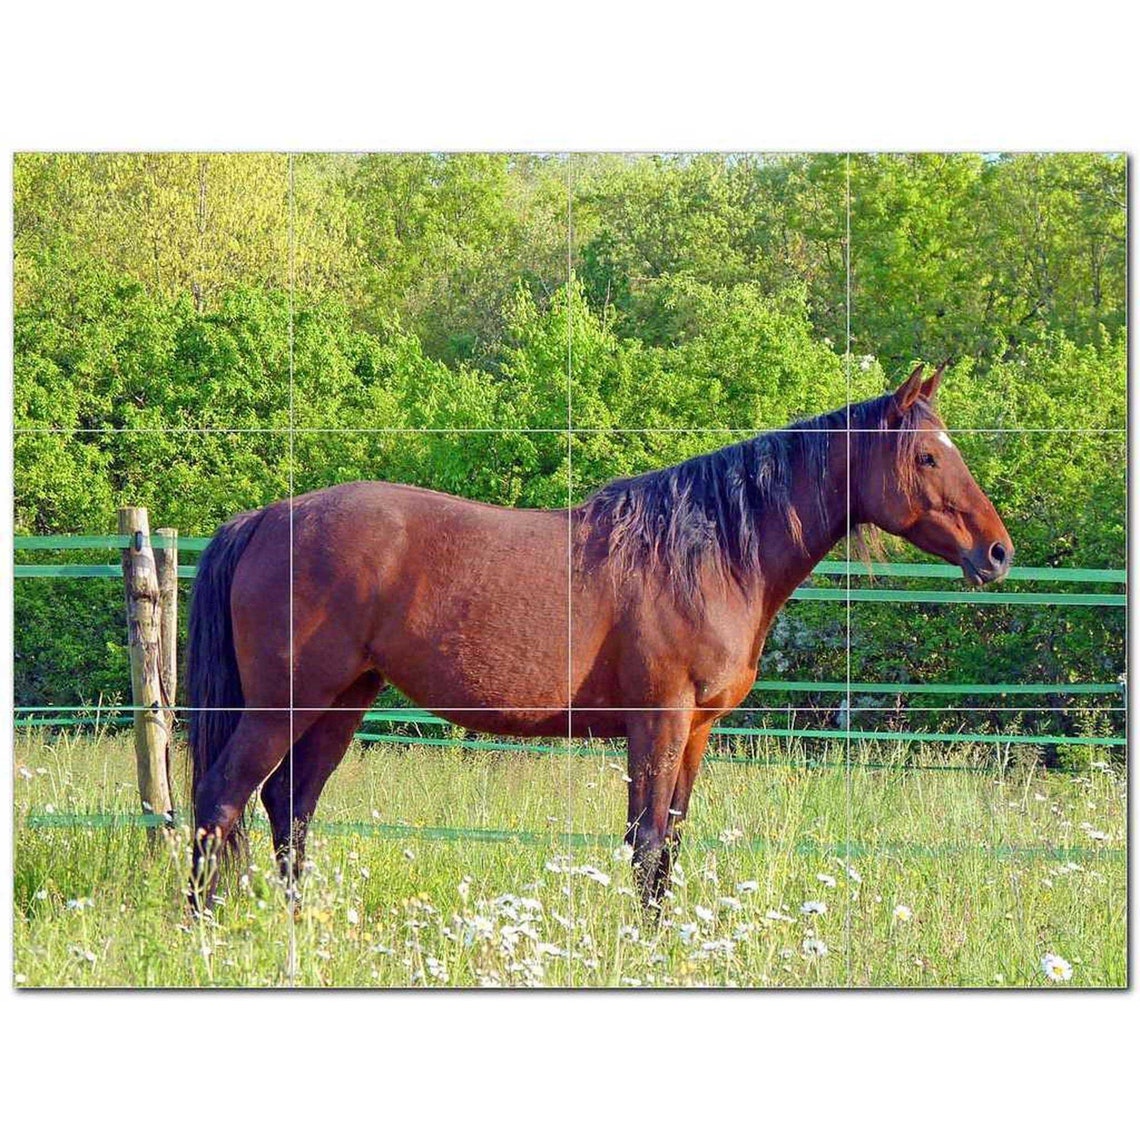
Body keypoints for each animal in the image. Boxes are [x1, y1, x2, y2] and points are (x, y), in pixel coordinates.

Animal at [186, 364, 1012, 910]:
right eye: (928, 456)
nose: (999, 553)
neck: (709, 551)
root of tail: (264, 518)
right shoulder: (657, 722)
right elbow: (644, 843)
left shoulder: (695, 731)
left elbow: (670, 843)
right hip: (286, 703)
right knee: (223, 798)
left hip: (342, 700)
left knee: (289, 808)